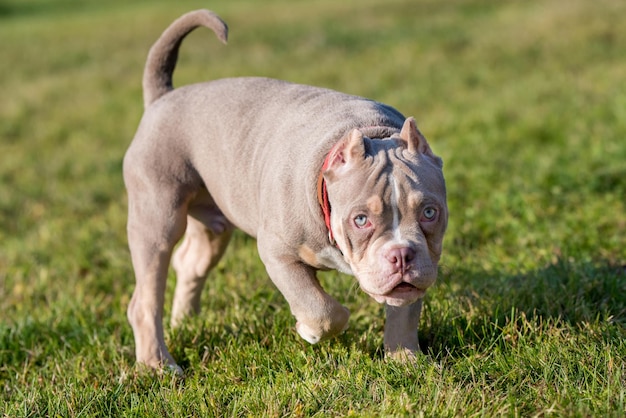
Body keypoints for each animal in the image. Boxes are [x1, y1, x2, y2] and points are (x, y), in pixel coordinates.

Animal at [123, 8, 444, 370]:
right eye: (360, 220)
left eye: (430, 213)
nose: (402, 255)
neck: (372, 132)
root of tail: (163, 97)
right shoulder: (278, 253)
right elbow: (323, 309)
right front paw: (310, 331)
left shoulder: (417, 269)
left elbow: (404, 311)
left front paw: (405, 360)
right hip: (157, 219)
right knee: (145, 298)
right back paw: (157, 365)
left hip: (213, 223)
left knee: (191, 262)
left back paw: (185, 323)